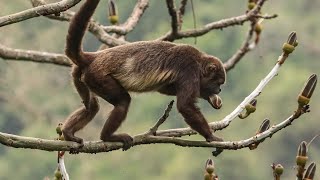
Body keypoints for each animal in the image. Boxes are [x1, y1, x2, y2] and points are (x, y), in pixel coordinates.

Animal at [62, 0, 226, 150]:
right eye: (218, 82)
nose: (219, 90)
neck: (199, 63)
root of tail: (93, 57)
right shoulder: (189, 69)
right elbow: (185, 106)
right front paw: (211, 137)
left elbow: (165, 89)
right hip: (99, 77)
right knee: (122, 101)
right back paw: (107, 136)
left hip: (81, 76)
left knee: (91, 106)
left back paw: (68, 133)